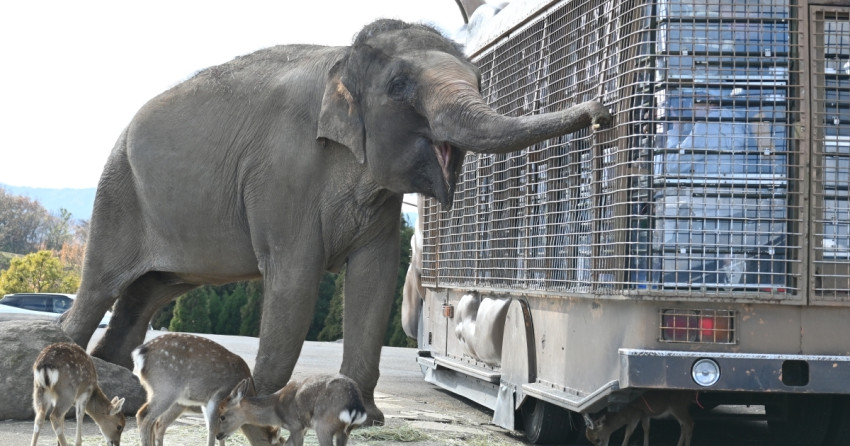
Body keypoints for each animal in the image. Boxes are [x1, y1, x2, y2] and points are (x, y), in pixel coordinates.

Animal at [132, 334, 278, 446]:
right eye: (277, 444)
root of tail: (138, 354)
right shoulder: (218, 397)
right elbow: (212, 428)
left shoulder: (205, 402)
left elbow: (213, 428)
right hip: (166, 388)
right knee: (144, 415)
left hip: (157, 392)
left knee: (155, 421)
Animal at [214, 372, 366, 446]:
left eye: (222, 416)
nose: (218, 435)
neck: (277, 412)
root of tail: (355, 406)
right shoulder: (303, 428)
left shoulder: (296, 425)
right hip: (345, 430)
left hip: (323, 425)